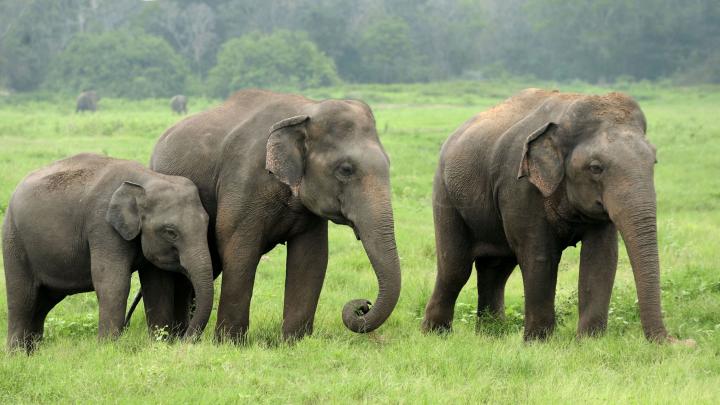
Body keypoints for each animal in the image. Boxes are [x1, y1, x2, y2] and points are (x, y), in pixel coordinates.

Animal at [2, 153, 213, 353]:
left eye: (207, 224)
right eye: (171, 232)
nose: (184, 341)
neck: (146, 180)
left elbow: (157, 284)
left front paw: (158, 345)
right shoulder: (102, 226)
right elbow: (113, 282)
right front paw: (107, 348)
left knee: (42, 303)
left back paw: (32, 353)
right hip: (13, 240)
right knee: (22, 298)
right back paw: (17, 356)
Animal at [136, 89, 401, 343]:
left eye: (389, 164)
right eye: (346, 170)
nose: (363, 305)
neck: (307, 109)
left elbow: (311, 258)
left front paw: (295, 343)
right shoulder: (243, 181)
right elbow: (239, 250)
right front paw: (229, 343)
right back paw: (176, 335)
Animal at [422, 88, 691, 344]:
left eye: (653, 162)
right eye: (595, 168)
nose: (685, 342)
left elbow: (601, 257)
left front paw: (589, 342)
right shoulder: (519, 186)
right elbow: (539, 256)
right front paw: (538, 343)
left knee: (497, 268)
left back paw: (491, 335)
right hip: (445, 193)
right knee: (455, 267)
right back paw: (435, 334)